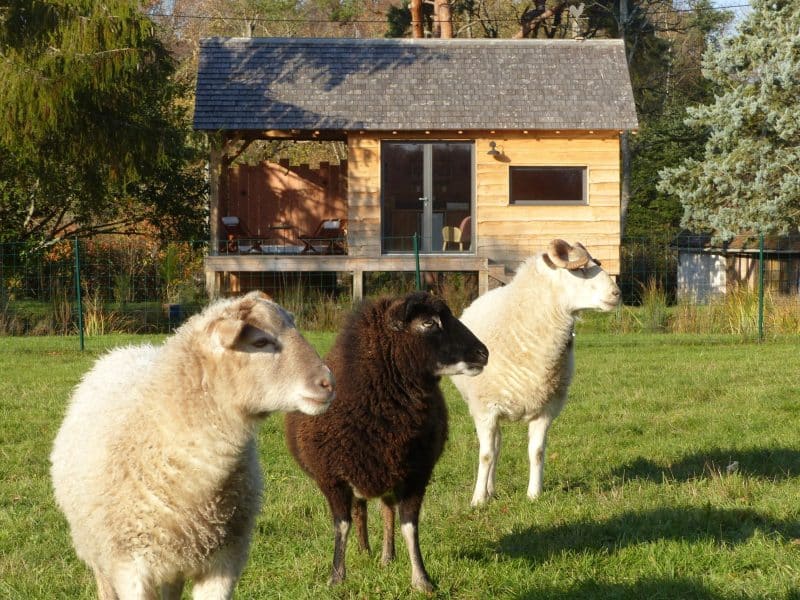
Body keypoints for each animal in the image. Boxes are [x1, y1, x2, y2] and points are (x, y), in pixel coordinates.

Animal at [50, 291, 334, 600]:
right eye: (260, 342)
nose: (328, 382)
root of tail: (125, 349)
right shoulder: (130, 566)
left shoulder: (224, 561)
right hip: (99, 549)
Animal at [285, 291, 488, 592]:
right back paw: (364, 550)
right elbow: (341, 525)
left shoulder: (416, 475)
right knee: (360, 511)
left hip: (388, 474)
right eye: (429, 323)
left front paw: (422, 580)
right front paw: (336, 577)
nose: (483, 353)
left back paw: (386, 556)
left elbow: (409, 526)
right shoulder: (332, 478)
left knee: (386, 510)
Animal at [451, 239, 621, 506]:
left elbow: (537, 452)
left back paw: (493, 489)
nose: (617, 294)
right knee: (494, 448)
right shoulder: (485, 409)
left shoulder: (546, 410)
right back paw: (487, 490)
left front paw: (534, 494)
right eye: (581, 269)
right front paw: (478, 500)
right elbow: (486, 455)